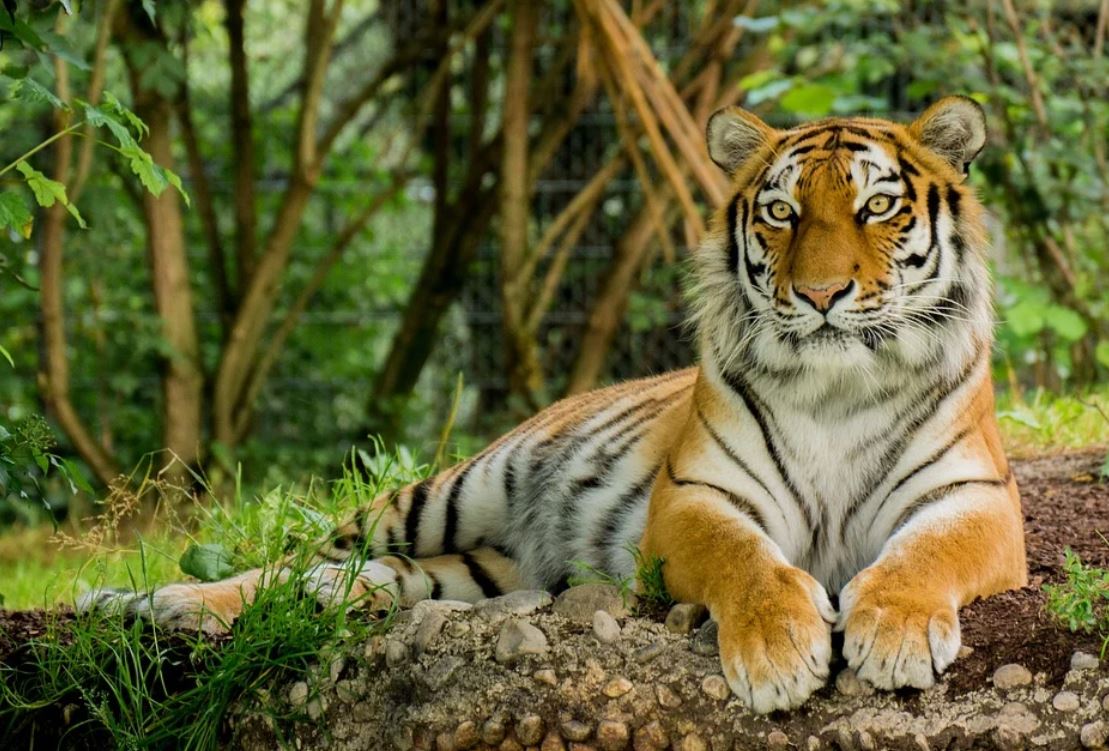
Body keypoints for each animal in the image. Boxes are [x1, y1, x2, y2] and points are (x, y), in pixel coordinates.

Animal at [80, 96, 1027, 713]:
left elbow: (922, 556)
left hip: (478, 568)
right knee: (288, 561)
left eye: (876, 206)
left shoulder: (971, 499)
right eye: (782, 214)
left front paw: (893, 632)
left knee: (358, 578)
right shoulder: (695, 498)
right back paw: (152, 602)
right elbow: (747, 563)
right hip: (442, 492)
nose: (821, 294)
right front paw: (780, 651)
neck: (836, 385)